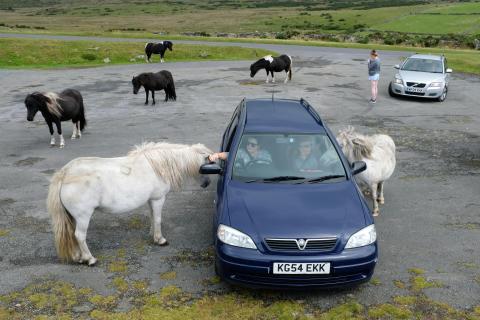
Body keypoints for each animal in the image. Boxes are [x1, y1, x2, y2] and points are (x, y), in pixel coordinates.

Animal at [46, 142, 212, 264]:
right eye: (206, 164)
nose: (207, 184)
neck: (157, 165)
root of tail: (64, 173)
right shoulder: (158, 199)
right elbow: (158, 219)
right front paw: (160, 240)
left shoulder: (151, 200)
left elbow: (153, 218)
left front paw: (153, 235)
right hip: (83, 216)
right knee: (79, 235)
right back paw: (90, 259)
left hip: (72, 217)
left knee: (71, 234)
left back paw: (78, 257)